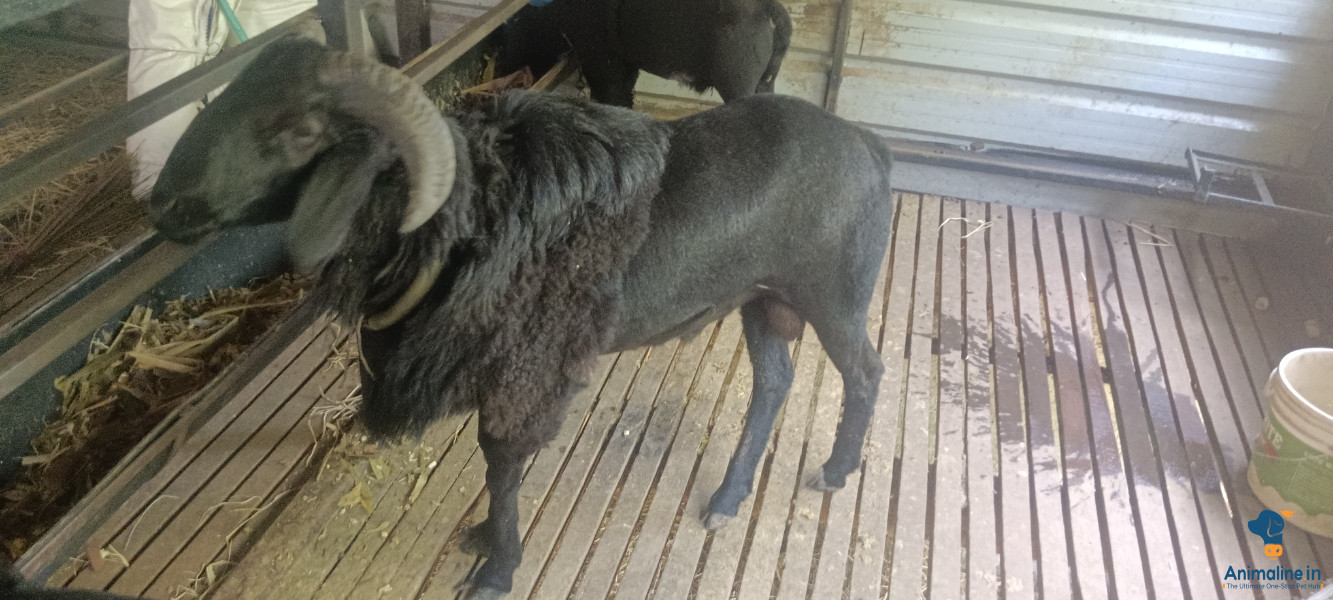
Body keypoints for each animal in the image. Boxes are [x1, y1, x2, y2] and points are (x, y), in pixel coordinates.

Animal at [148, 38, 893, 599]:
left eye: (300, 132)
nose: (164, 207)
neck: (466, 219)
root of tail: (867, 146)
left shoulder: (525, 370)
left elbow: (500, 465)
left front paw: (496, 565)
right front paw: (487, 544)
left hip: (832, 294)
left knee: (864, 373)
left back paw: (836, 468)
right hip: (762, 299)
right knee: (774, 382)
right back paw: (728, 498)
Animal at [497, 0, 793, 107]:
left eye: (516, 26)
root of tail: (769, 8)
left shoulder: (602, 61)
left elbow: (611, 97)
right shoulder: (624, 65)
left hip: (737, 84)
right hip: (764, 82)